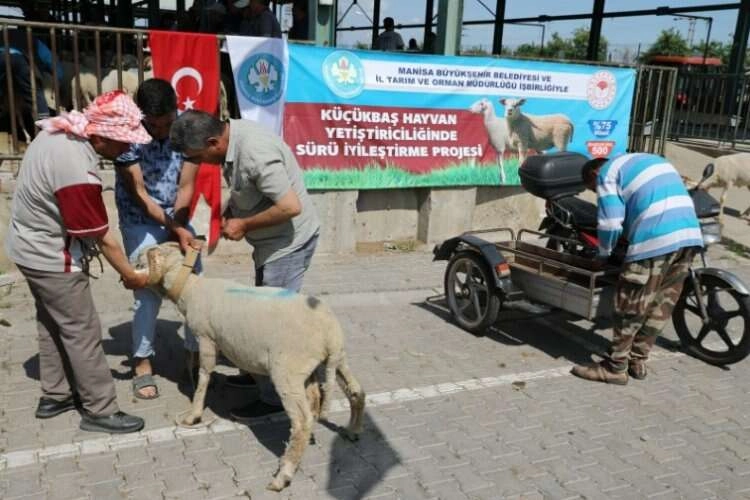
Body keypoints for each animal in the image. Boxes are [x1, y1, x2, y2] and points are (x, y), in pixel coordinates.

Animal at [140, 243, 368, 492]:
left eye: (143, 260)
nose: (126, 275)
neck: (190, 290)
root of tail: (330, 334)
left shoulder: (206, 337)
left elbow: (204, 375)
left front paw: (194, 415)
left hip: (287, 370)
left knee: (302, 420)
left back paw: (283, 475)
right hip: (334, 360)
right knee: (355, 391)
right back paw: (353, 431)